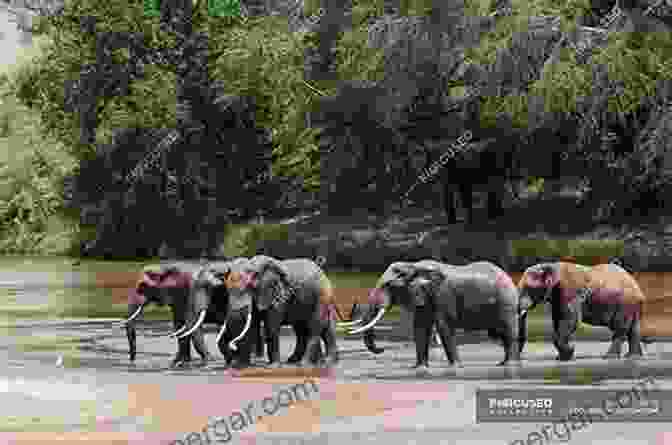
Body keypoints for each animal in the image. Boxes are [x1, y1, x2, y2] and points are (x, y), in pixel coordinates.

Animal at [210, 255, 338, 366]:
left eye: (250, 287)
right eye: (227, 289)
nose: (232, 349)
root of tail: (322, 271)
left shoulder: (277, 294)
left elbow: (271, 326)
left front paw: (274, 366)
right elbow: (252, 325)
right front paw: (242, 365)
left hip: (322, 295)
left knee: (315, 326)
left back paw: (308, 363)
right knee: (306, 329)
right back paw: (301, 361)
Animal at [344, 258, 524, 370]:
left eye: (388, 285)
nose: (381, 349)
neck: (413, 266)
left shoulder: (442, 295)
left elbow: (444, 327)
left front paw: (455, 367)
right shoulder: (422, 296)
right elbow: (420, 328)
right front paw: (418, 368)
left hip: (506, 302)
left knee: (508, 331)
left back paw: (510, 365)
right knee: (499, 333)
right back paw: (503, 364)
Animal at [516, 260, 652, 360]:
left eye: (529, 288)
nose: (520, 357)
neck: (551, 266)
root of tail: (638, 288)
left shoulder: (571, 291)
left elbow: (571, 320)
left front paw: (569, 353)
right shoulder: (557, 297)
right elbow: (558, 319)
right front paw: (563, 357)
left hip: (625, 304)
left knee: (620, 328)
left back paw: (609, 357)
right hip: (632, 305)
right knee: (633, 330)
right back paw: (633, 357)